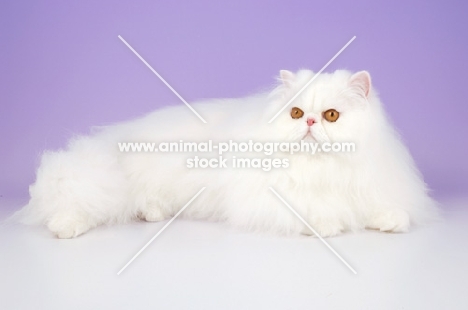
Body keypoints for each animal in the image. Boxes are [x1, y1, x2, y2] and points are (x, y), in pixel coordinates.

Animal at [15, 69, 438, 237]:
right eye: (296, 113)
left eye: (331, 115)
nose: (309, 122)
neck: (320, 169)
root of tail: (121, 135)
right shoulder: (269, 199)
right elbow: (315, 213)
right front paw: (328, 224)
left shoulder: (371, 188)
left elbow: (387, 211)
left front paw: (390, 222)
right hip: (108, 187)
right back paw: (64, 228)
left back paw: (153, 214)